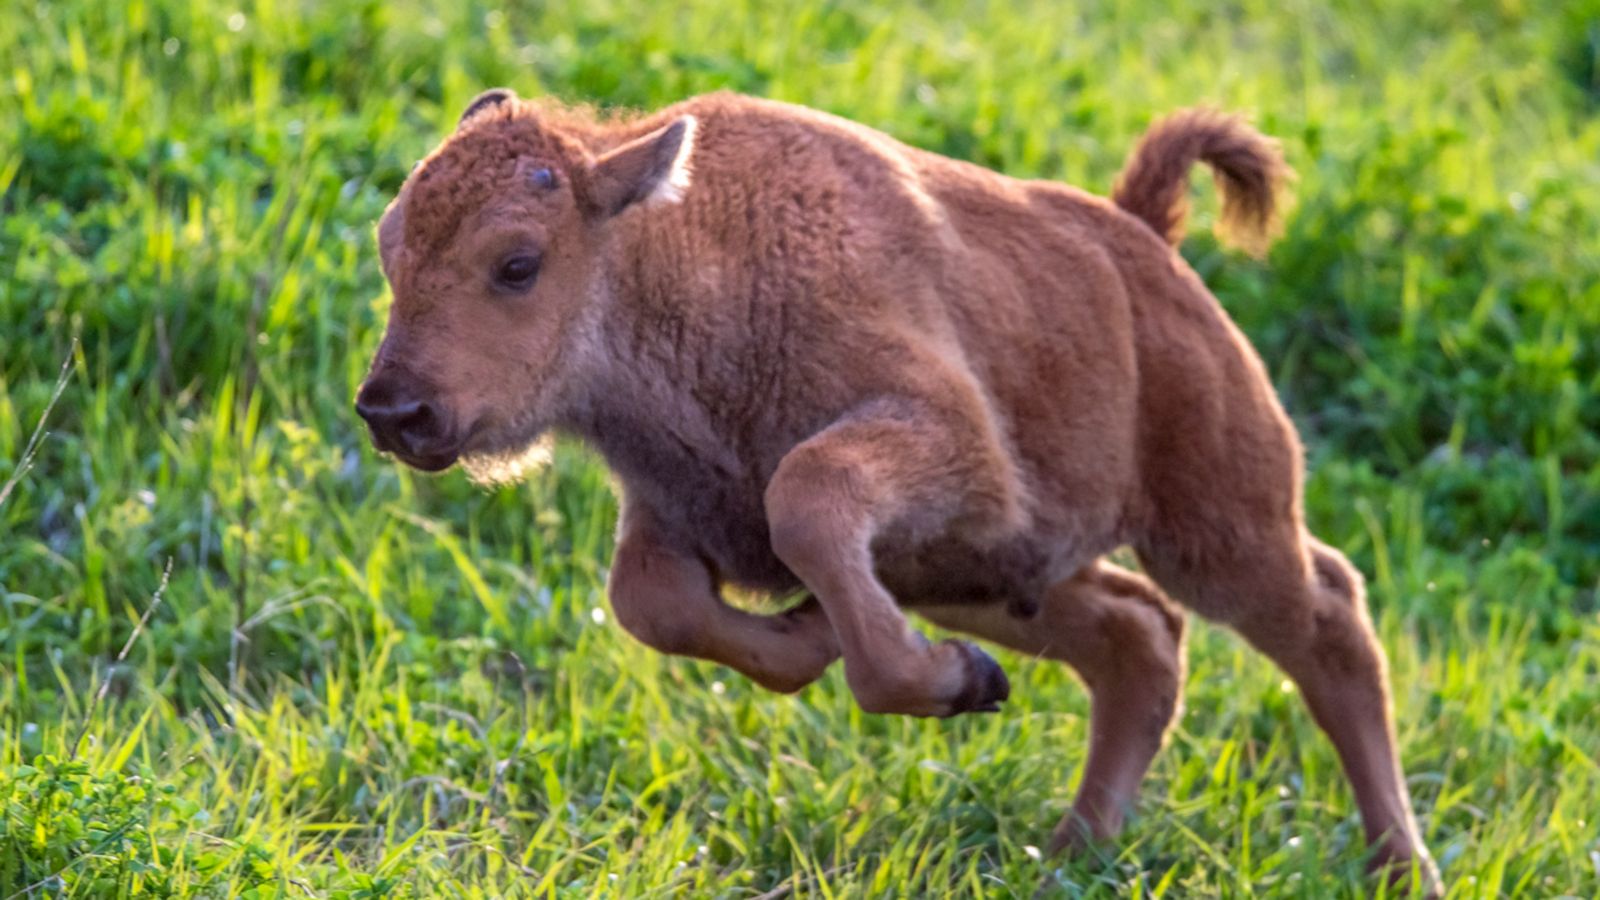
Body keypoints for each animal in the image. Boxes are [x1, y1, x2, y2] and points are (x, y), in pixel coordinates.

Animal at [356, 89, 1446, 890]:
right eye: (389, 242)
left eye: (517, 264)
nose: (392, 410)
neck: (684, 255)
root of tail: (1144, 246)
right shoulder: (676, 511)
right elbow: (649, 604)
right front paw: (842, 646)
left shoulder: (949, 449)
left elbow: (807, 500)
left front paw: (932, 679)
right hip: (988, 577)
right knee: (1138, 637)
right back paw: (1068, 850)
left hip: (1219, 526)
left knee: (1328, 623)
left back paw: (1403, 867)